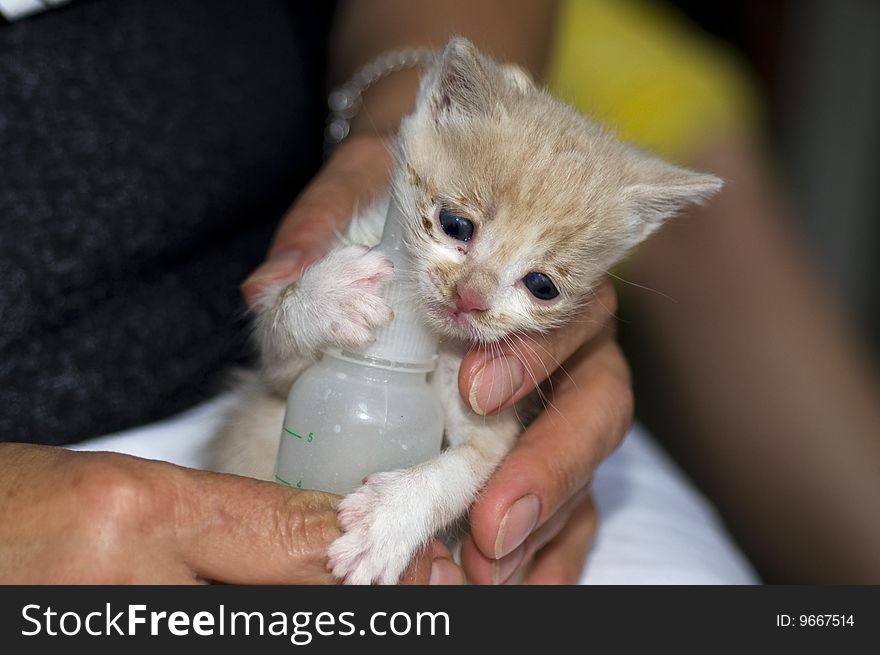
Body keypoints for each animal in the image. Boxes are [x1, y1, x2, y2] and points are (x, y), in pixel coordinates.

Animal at [208, 38, 720, 588]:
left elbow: (468, 468)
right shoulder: (277, 373)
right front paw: (329, 293)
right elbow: (279, 323)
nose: (470, 298)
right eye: (456, 225)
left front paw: (387, 521)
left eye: (541, 286)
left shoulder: (489, 418)